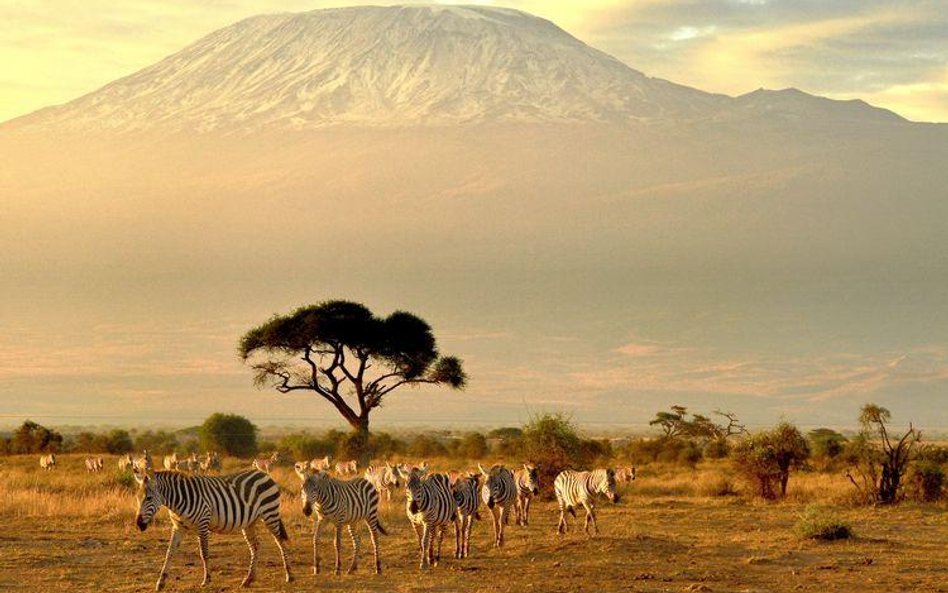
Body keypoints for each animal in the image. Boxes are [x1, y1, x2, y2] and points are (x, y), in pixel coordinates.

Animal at [131, 468, 290, 588]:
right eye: (137, 498)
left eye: (148, 498)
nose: (139, 524)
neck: (178, 500)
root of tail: (264, 473)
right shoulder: (178, 527)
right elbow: (169, 552)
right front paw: (161, 582)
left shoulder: (202, 524)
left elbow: (204, 553)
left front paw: (206, 579)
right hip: (250, 522)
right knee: (255, 546)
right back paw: (248, 579)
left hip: (270, 514)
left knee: (280, 542)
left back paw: (289, 575)